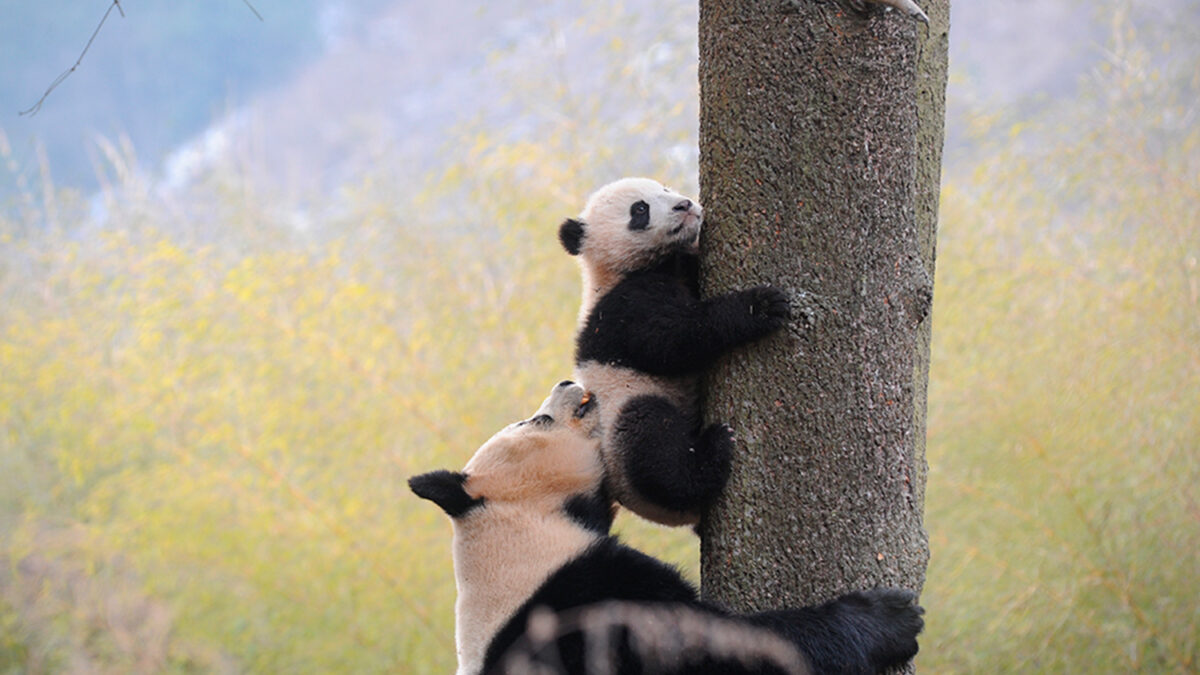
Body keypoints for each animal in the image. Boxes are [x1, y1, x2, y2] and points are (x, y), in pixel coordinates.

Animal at [408, 381, 921, 667]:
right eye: (535, 421)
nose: (567, 381)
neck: (519, 524)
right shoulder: (586, 596)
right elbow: (715, 648)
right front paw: (889, 620)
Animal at [556, 178, 792, 526]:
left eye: (664, 189)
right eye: (639, 209)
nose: (684, 205)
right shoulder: (624, 309)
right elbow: (675, 339)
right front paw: (760, 306)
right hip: (623, 416)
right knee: (653, 445)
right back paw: (711, 452)